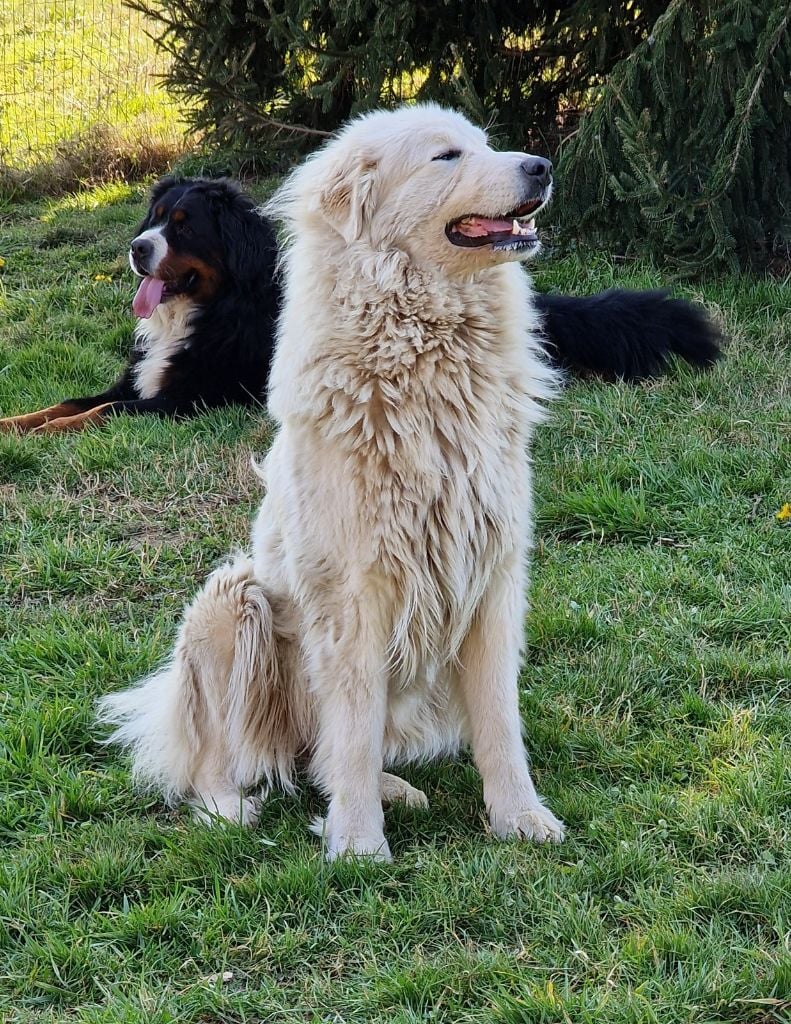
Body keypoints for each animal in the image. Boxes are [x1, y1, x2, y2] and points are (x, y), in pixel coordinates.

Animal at [0, 177, 280, 433]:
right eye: (155, 218)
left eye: (185, 228)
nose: (137, 247)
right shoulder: (132, 380)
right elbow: (68, 403)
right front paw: (12, 423)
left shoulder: (188, 399)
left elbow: (107, 408)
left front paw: (50, 428)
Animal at [98, 104, 587, 861]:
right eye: (446, 156)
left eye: (482, 145)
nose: (542, 166)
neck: (426, 350)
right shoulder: (357, 594)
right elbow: (353, 726)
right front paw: (358, 844)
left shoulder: (493, 579)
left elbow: (499, 725)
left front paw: (520, 818)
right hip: (231, 603)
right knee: (239, 754)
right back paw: (232, 808)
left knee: (317, 758)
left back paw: (392, 790)